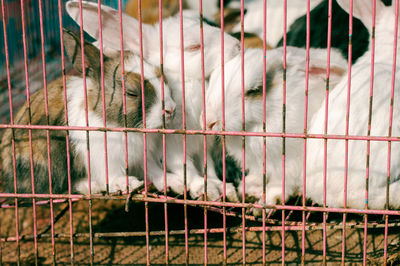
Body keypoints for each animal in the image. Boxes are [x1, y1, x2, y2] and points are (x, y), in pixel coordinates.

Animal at [0, 28, 176, 195]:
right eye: (131, 92)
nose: (171, 110)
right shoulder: (102, 160)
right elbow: (110, 176)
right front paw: (126, 183)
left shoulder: (142, 157)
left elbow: (153, 170)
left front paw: (174, 182)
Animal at [65, 0, 241, 200]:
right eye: (193, 47)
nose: (237, 45)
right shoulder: (174, 148)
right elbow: (186, 169)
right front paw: (204, 189)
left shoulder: (204, 146)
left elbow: (208, 168)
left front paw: (223, 187)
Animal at [203, 46, 346, 207]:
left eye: (255, 90)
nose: (208, 121)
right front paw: (250, 187)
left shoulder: (291, 163)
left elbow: (281, 185)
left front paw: (267, 200)